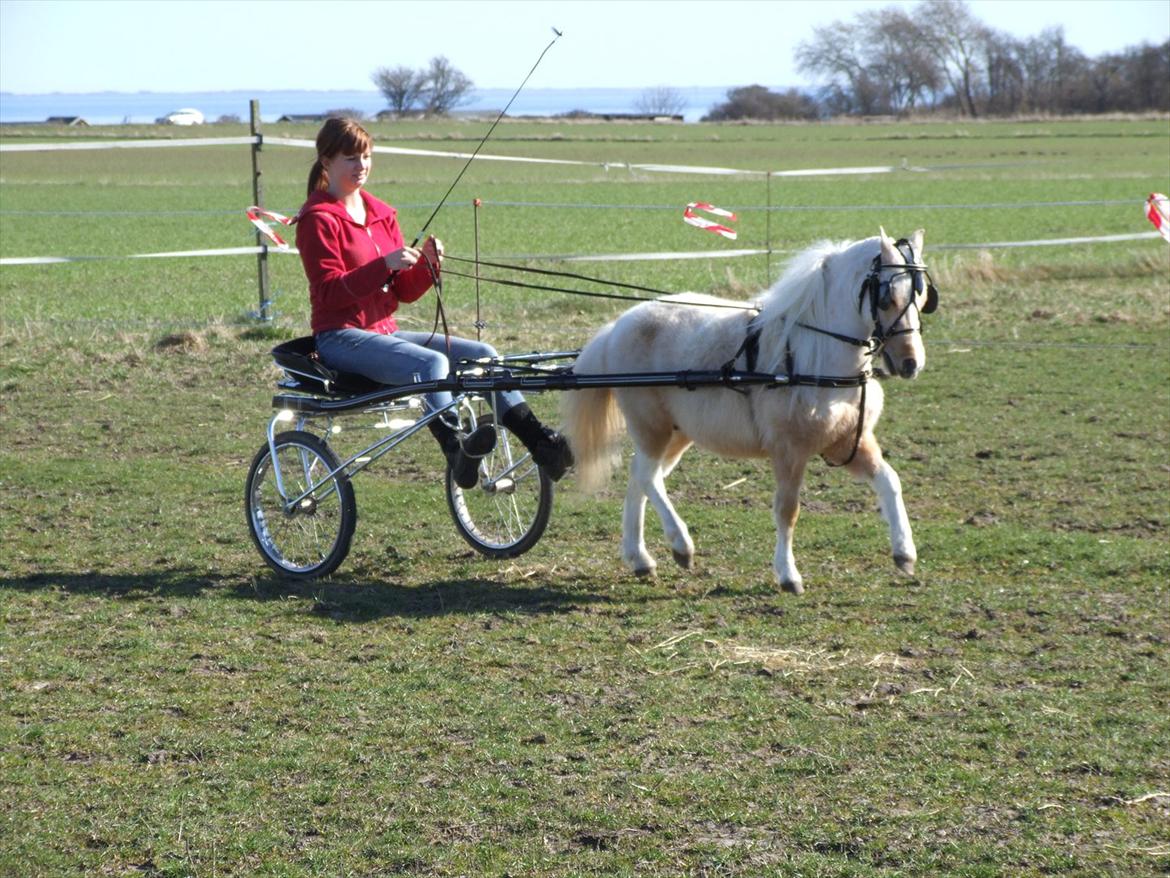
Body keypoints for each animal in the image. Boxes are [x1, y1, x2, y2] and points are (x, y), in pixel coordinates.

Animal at [561, 230, 935, 594]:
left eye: (921, 298)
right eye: (887, 298)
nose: (911, 363)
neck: (814, 354)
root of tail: (617, 326)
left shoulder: (848, 443)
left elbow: (890, 481)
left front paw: (904, 554)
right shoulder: (789, 451)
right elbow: (788, 511)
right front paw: (788, 575)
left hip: (676, 434)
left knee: (639, 476)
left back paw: (639, 557)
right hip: (651, 425)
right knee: (648, 477)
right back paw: (681, 545)